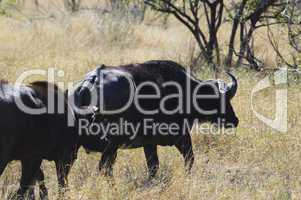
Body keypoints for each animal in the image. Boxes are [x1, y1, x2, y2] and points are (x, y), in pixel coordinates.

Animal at [71, 59, 238, 178]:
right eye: (221, 99)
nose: (235, 120)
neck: (186, 92)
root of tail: (90, 82)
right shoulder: (179, 136)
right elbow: (187, 159)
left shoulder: (151, 143)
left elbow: (155, 166)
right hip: (113, 143)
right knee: (105, 167)